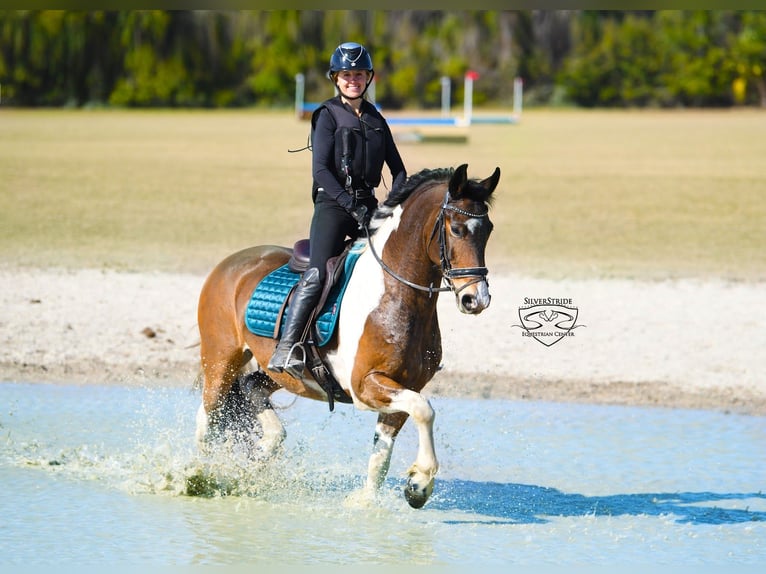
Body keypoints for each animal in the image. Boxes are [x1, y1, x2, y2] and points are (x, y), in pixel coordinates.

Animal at [195, 163, 500, 508]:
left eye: (488, 230)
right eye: (457, 229)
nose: (476, 299)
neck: (394, 293)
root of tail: (230, 263)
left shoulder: (404, 386)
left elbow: (383, 451)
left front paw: (379, 498)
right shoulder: (365, 386)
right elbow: (424, 409)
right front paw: (421, 480)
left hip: (282, 372)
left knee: (251, 388)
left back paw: (261, 453)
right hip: (220, 359)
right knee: (208, 417)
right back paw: (198, 475)